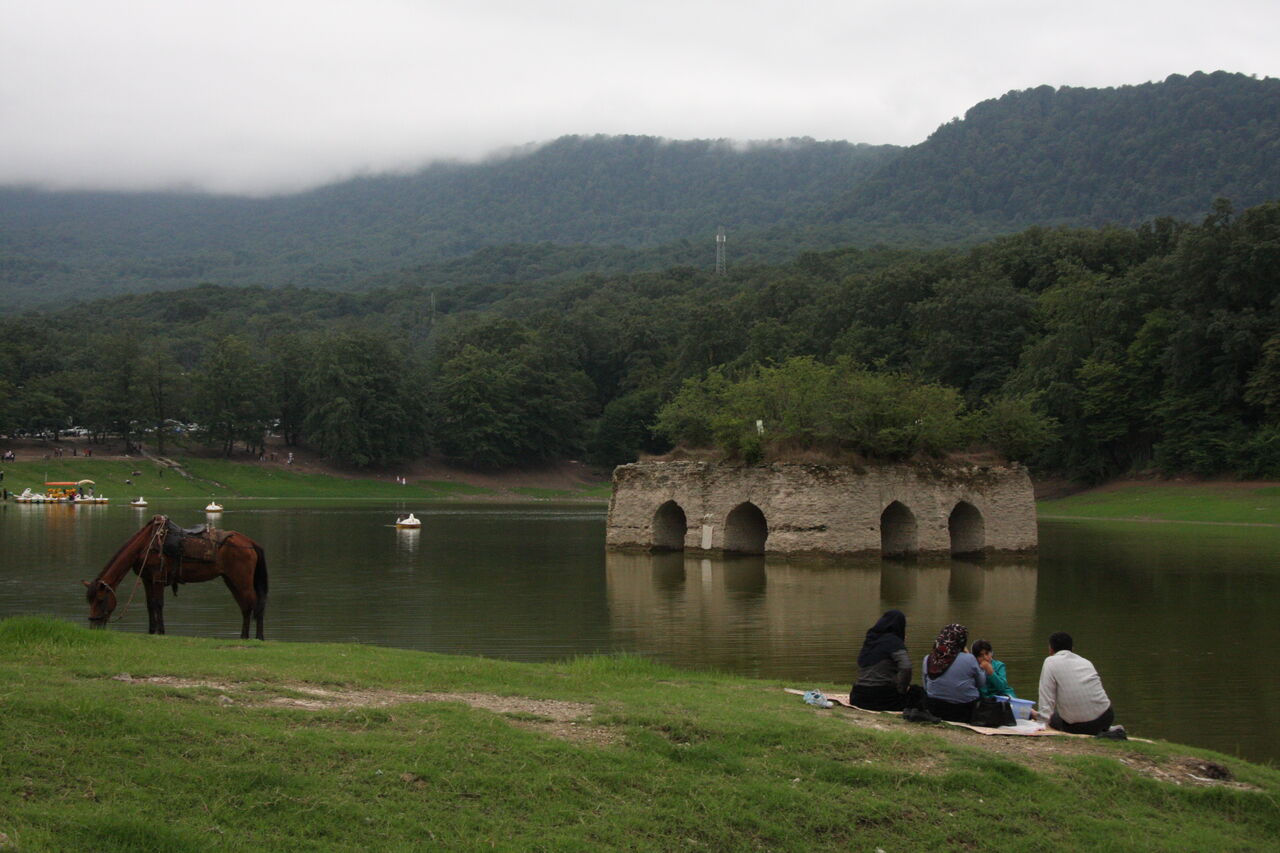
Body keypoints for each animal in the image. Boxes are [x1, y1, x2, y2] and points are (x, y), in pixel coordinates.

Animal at [82, 512, 267, 637]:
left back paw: (254, 637)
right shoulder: (147, 579)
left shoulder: (157, 577)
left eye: (100, 600)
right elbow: (150, 605)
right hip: (231, 580)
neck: (145, 545)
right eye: (89, 601)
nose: (93, 626)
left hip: (241, 580)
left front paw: (161, 631)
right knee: (245, 605)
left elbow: (158, 604)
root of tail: (249, 542)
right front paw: (151, 631)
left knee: (253, 604)